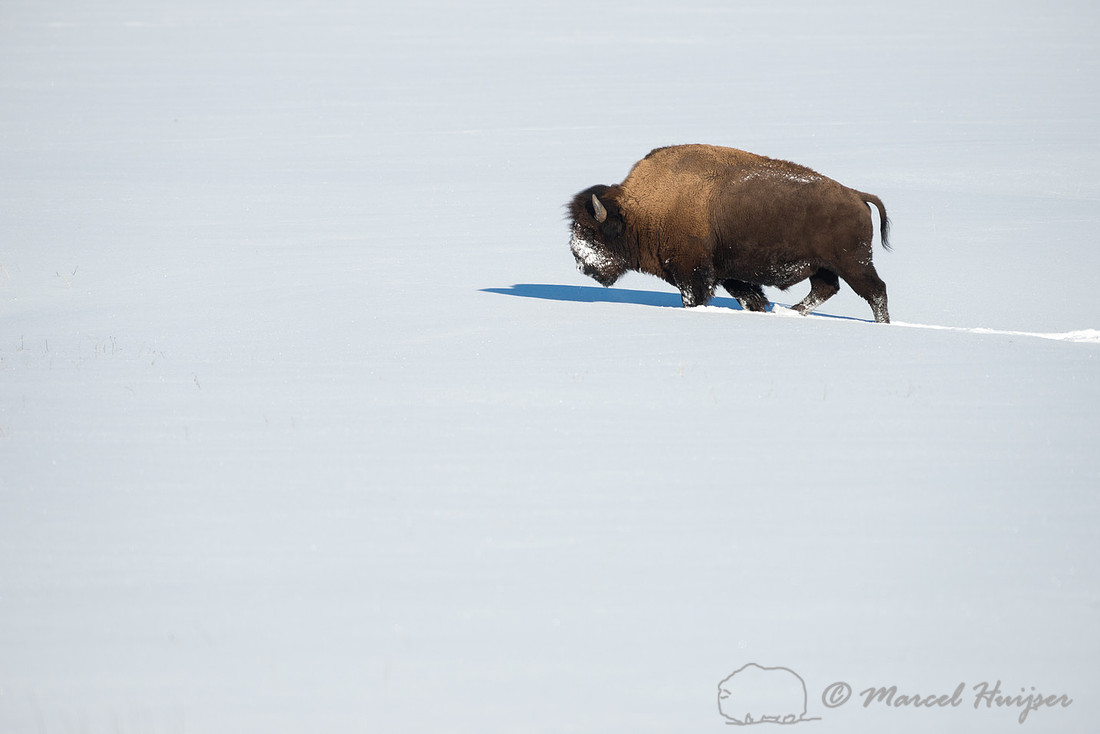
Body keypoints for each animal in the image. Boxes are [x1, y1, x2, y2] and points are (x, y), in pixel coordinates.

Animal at [567, 144, 891, 322]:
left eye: (592, 232)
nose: (581, 262)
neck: (639, 209)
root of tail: (856, 195)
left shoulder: (692, 274)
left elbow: (695, 298)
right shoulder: (730, 276)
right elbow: (751, 299)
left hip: (853, 263)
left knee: (875, 291)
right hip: (825, 267)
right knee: (826, 289)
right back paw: (788, 312)